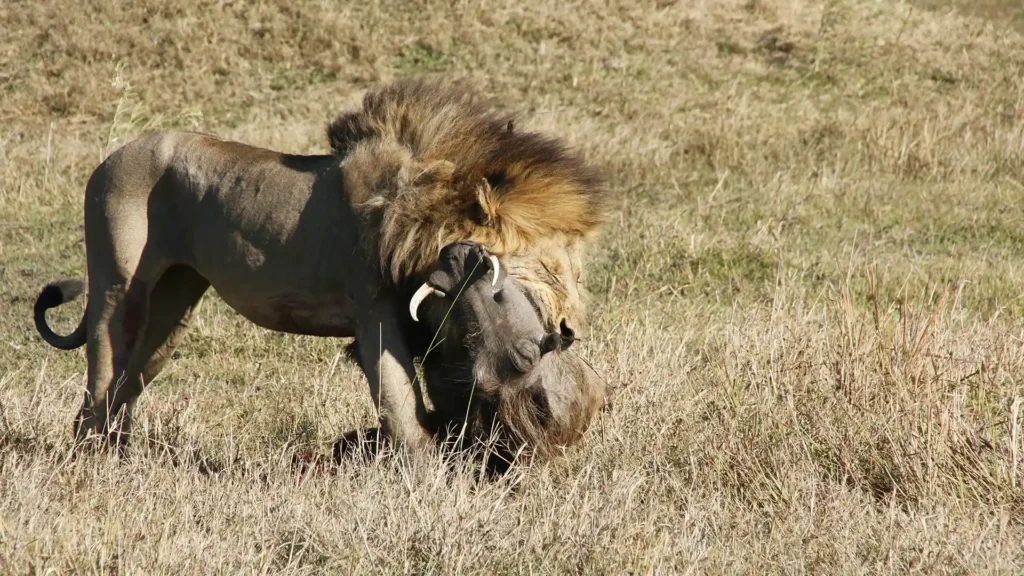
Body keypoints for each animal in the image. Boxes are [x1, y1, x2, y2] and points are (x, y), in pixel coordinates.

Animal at [34, 76, 606, 461]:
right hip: (119, 283)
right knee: (103, 371)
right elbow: (400, 405)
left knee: (129, 381)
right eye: (549, 265)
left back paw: (122, 456)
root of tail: (113, 155)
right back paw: (93, 459)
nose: (568, 328)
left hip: (175, 304)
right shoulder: (374, 313)